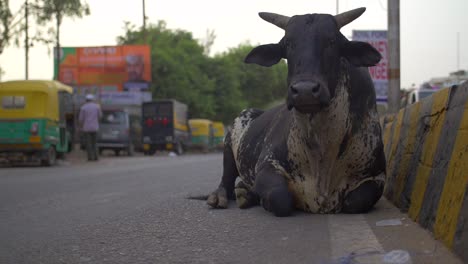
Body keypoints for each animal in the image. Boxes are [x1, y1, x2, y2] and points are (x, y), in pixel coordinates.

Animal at [207, 7, 386, 217]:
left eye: (332, 41)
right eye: (288, 43)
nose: (305, 90)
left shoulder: (377, 175)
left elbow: (355, 202)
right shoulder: (267, 165)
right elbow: (280, 198)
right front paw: (262, 200)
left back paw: (245, 192)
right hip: (229, 142)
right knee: (226, 179)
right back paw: (221, 196)